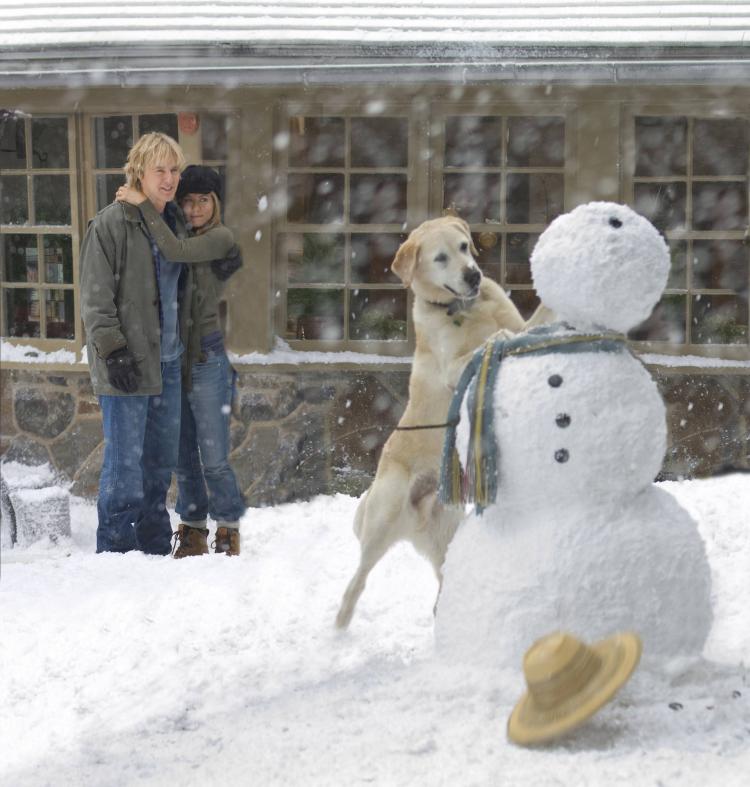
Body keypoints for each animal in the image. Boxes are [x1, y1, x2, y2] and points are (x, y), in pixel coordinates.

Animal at [336, 214, 552, 628]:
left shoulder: (522, 325)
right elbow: (486, 345)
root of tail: (415, 517)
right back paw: (340, 626)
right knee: (356, 580)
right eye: (440, 258)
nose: (473, 274)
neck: (464, 308)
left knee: (441, 584)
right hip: (382, 519)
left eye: (465, 246)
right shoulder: (451, 368)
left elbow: (530, 323)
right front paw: (495, 339)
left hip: (447, 529)